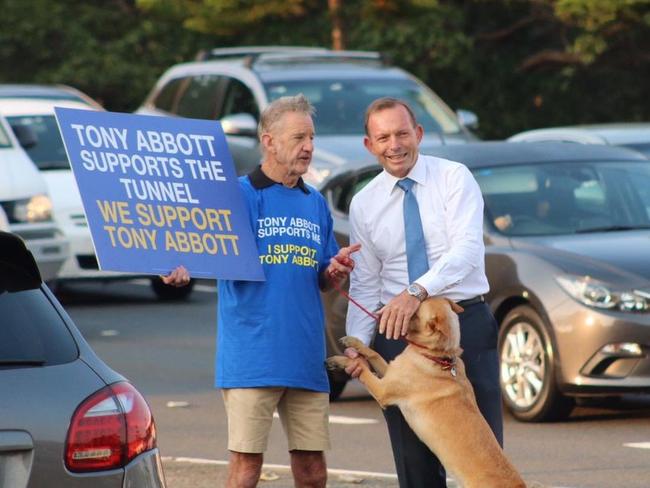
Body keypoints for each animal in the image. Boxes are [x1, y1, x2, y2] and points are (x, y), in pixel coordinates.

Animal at [326, 296, 524, 488]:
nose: (381, 312)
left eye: (414, 311)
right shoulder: (389, 373)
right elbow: (373, 354)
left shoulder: (382, 390)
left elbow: (362, 370)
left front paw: (342, 361)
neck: (437, 357)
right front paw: (355, 343)